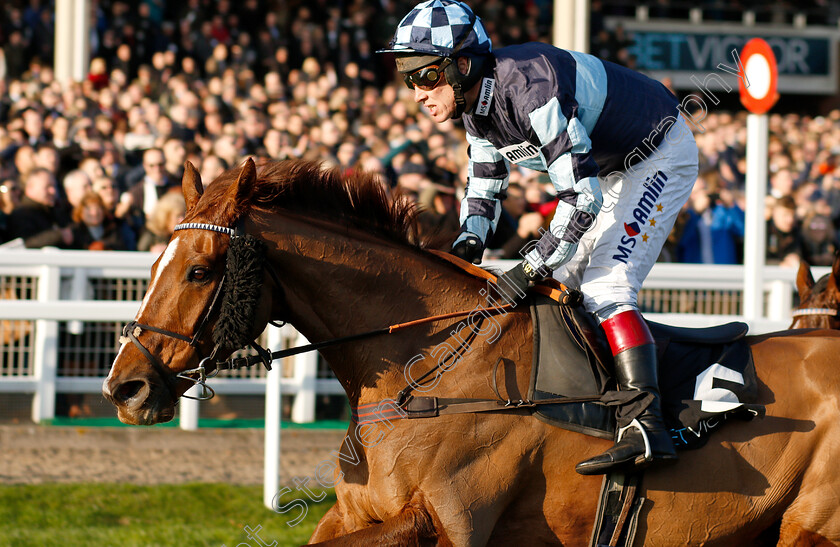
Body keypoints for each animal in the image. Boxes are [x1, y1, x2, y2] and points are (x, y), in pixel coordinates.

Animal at [103, 159, 840, 547]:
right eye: (154, 260)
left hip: (810, 527)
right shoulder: (359, 513)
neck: (430, 366)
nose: (125, 387)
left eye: (200, 269)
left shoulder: (447, 524)